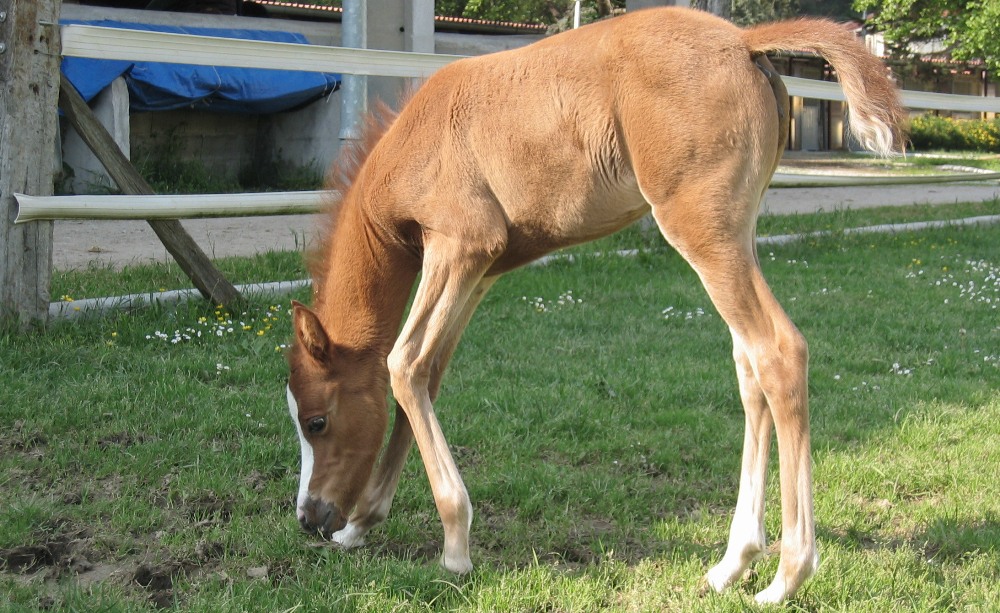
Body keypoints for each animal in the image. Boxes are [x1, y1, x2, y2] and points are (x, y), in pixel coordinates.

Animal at [284, 5, 908, 604]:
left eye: (316, 421)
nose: (310, 517)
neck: (414, 140)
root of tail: (742, 42)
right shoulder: (480, 270)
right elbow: (428, 374)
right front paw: (362, 525)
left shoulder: (460, 244)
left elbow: (404, 363)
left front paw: (455, 546)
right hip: (737, 231)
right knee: (748, 367)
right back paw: (732, 563)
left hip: (700, 229)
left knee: (779, 352)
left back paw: (786, 576)